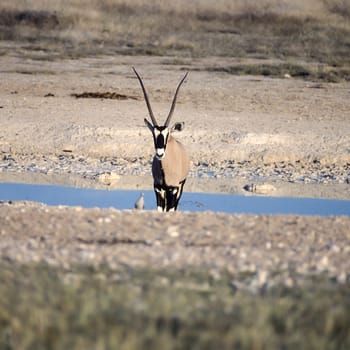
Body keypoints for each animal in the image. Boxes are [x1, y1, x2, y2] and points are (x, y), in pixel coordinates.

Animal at [133, 67, 190, 212]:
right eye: (153, 134)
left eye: (167, 134)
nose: (159, 154)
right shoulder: (158, 188)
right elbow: (160, 210)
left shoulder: (173, 189)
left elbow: (170, 210)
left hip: (181, 186)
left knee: (175, 207)